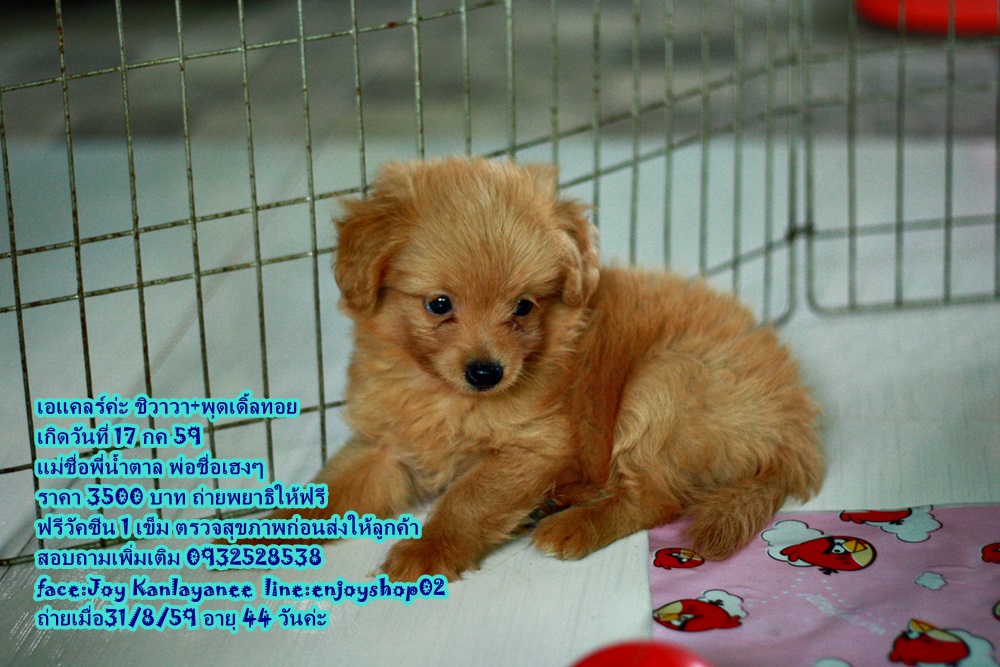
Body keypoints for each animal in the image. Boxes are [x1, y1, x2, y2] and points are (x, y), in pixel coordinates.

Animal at [274, 156, 822, 582]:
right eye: (438, 304)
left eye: (523, 306)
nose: (487, 372)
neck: (439, 393)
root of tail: (794, 428)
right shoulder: (383, 446)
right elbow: (330, 487)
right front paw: (272, 530)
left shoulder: (534, 445)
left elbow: (467, 500)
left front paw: (428, 550)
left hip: (664, 382)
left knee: (654, 499)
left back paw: (573, 525)